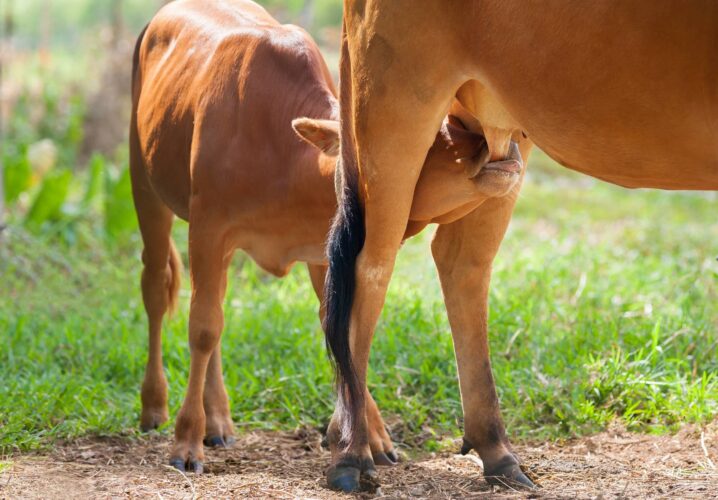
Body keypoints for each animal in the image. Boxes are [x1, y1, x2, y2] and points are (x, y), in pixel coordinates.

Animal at [130, 0, 525, 475]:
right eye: (431, 136)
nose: (507, 146)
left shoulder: (325, 250)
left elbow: (340, 326)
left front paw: (372, 437)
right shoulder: (209, 227)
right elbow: (203, 328)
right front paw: (185, 442)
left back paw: (219, 419)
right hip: (144, 183)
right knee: (160, 290)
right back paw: (156, 406)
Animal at [324, 0, 718, 492]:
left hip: (503, 132)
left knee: (463, 263)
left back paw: (496, 452)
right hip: (395, 104)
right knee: (370, 268)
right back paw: (352, 451)